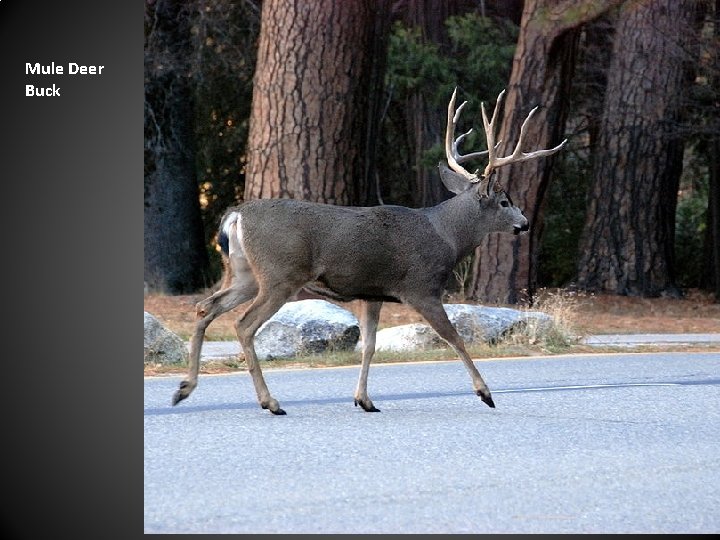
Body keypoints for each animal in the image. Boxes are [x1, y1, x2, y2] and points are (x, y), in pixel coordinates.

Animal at [172, 90, 564, 416]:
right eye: (505, 201)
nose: (525, 223)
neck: (447, 236)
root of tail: (236, 215)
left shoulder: (372, 292)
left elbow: (369, 344)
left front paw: (364, 399)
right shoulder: (421, 287)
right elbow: (454, 337)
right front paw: (485, 393)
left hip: (246, 273)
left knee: (206, 306)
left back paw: (185, 388)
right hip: (280, 275)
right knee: (243, 324)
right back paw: (270, 402)